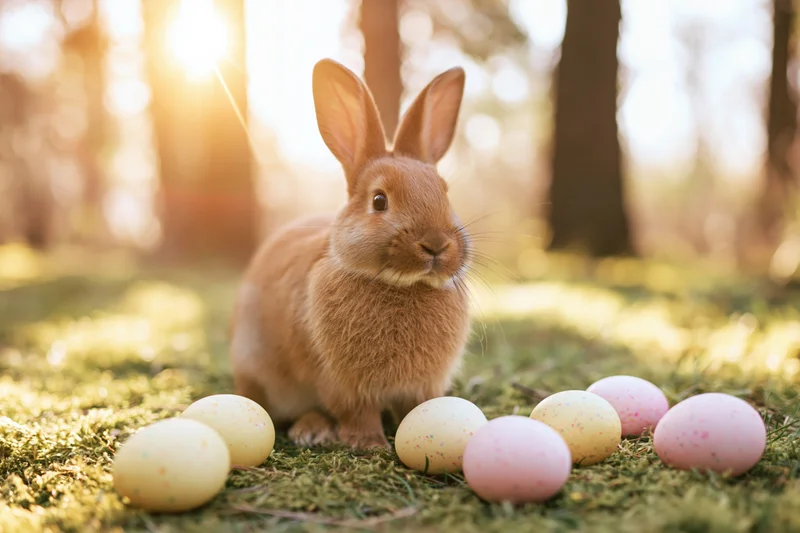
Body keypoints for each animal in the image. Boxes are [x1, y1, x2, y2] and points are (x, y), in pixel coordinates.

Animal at [230, 58, 472, 449]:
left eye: (445, 193)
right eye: (379, 201)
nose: (436, 244)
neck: (403, 286)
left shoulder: (422, 387)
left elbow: (417, 408)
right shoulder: (342, 383)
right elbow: (357, 412)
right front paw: (368, 444)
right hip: (256, 369)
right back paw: (311, 430)